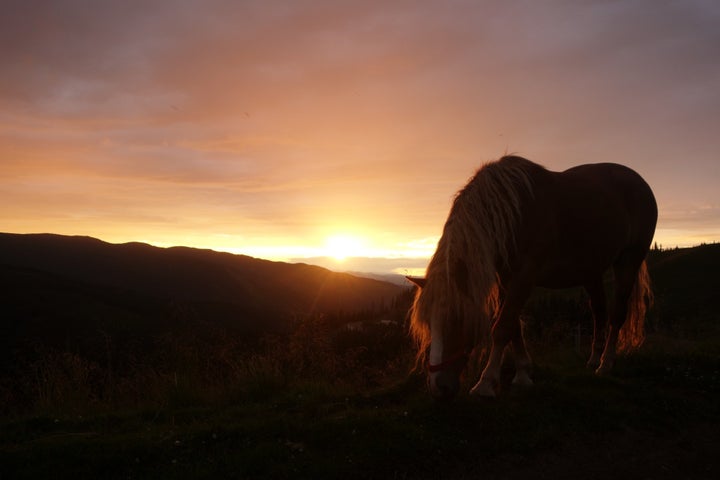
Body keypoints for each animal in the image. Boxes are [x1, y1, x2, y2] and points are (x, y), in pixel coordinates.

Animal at [408, 156, 656, 400]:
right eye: (429, 323)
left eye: (455, 319)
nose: (438, 387)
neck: (512, 213)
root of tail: (639, 182)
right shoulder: (506, 280)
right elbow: (514, 326)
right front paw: (523, 375)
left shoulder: (524, 277)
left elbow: (502, 327)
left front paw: (486, 383)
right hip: (591, 272)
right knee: (599, 312)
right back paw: (594, 359)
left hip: (628, 262)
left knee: (617, 314)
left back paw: (605, 364)